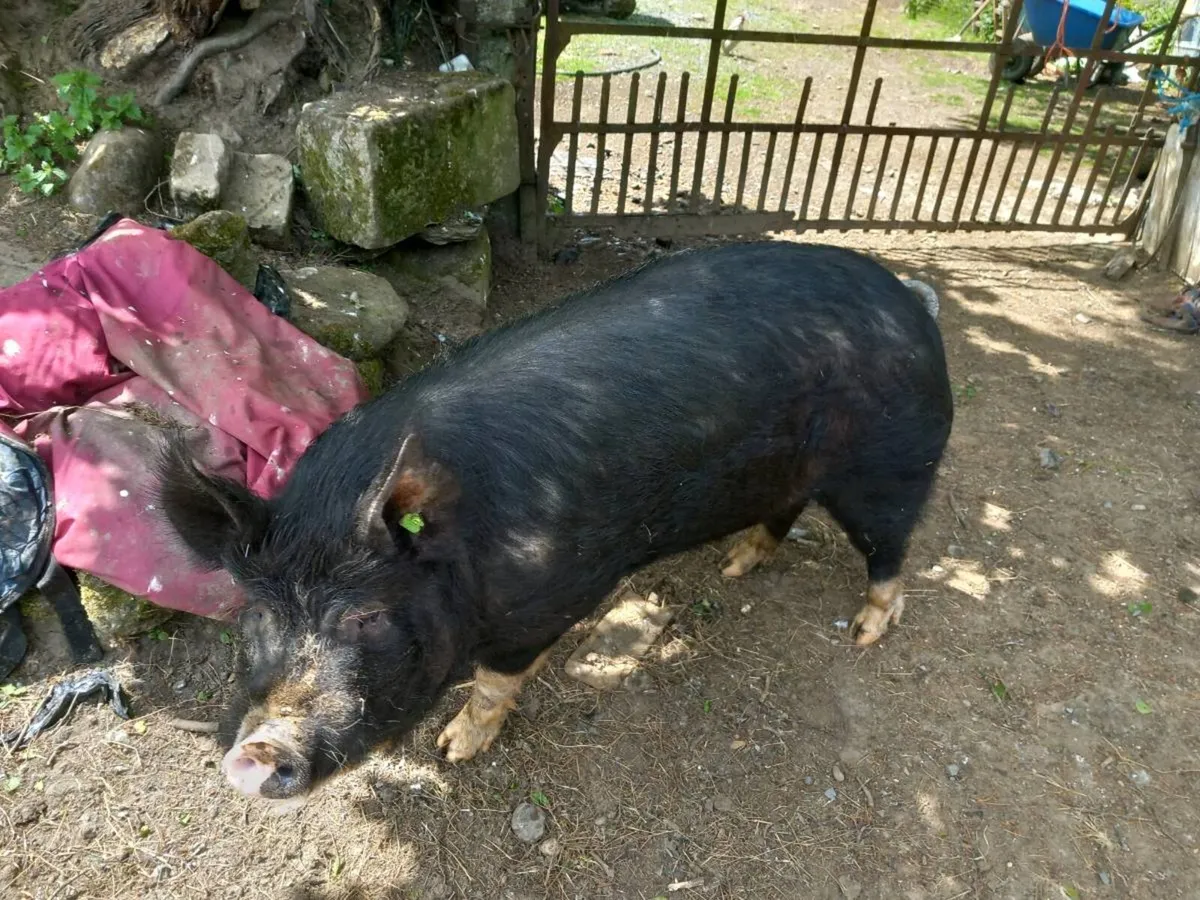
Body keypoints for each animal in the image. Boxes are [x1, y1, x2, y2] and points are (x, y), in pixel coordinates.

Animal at [157, 240, 953, 804]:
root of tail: (909, 302)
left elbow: (495, 681)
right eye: (257, 616)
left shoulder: (547, 601)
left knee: (893, 548)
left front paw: (452, 750)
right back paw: (735, 564)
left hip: (895, 462)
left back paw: (866, 630)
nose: (257, 750)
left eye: (368, 617)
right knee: (784, 513)